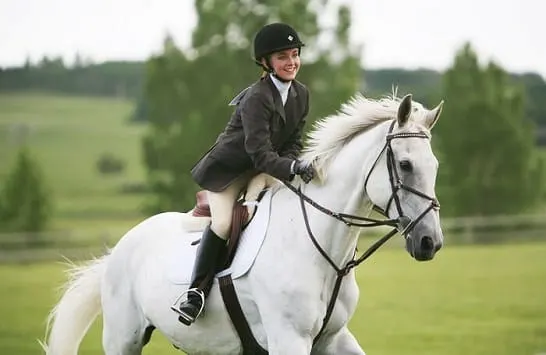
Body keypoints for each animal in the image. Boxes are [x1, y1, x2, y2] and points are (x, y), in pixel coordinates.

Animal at [41, 93, 442, 354]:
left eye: (434, 166)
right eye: (405, 165)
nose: (430, 242)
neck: (321, 250)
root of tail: (122, 247)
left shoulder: (334, 340)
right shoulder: (288, 339)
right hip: (123, 338)